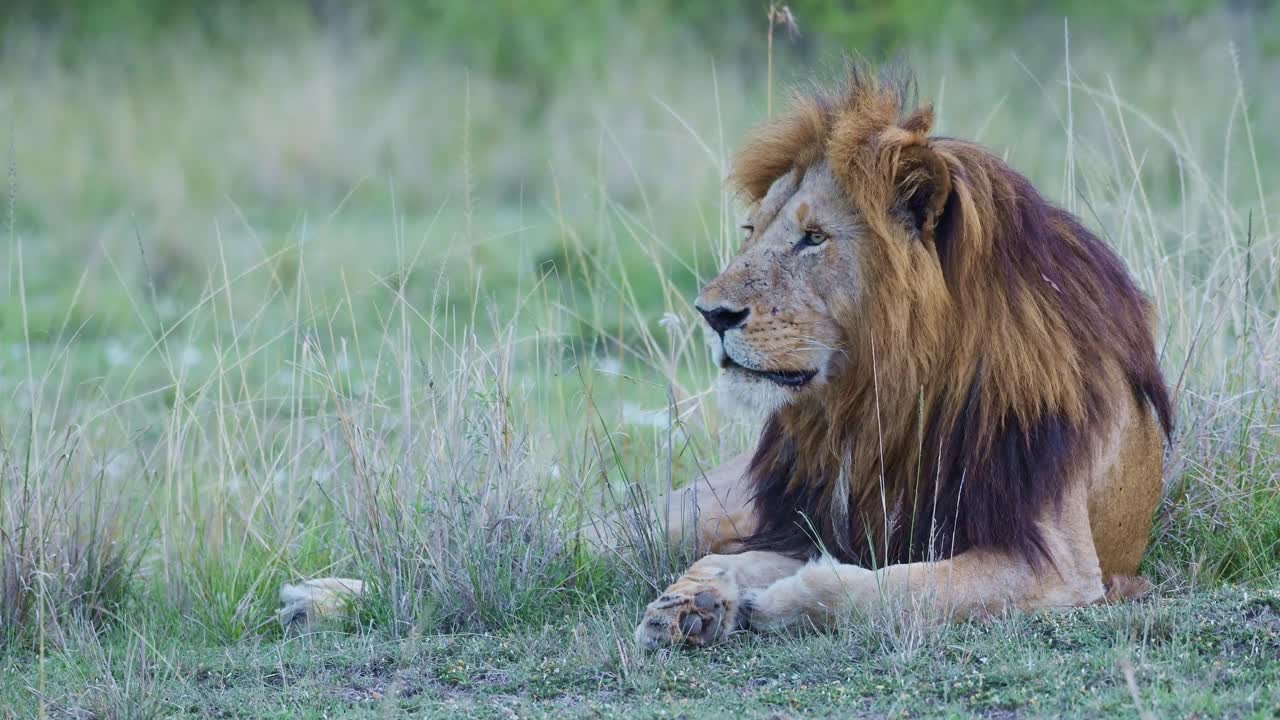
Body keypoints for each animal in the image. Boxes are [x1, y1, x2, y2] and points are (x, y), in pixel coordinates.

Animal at [631, 66, 1172, 649]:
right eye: (752, 232)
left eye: (813, 238)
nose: (711, 314)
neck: (888, 396)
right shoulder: (820, 523)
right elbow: (736, 560)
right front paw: (691, 598)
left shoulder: (1060, 565)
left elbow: (900, 588)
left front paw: (777, 601)